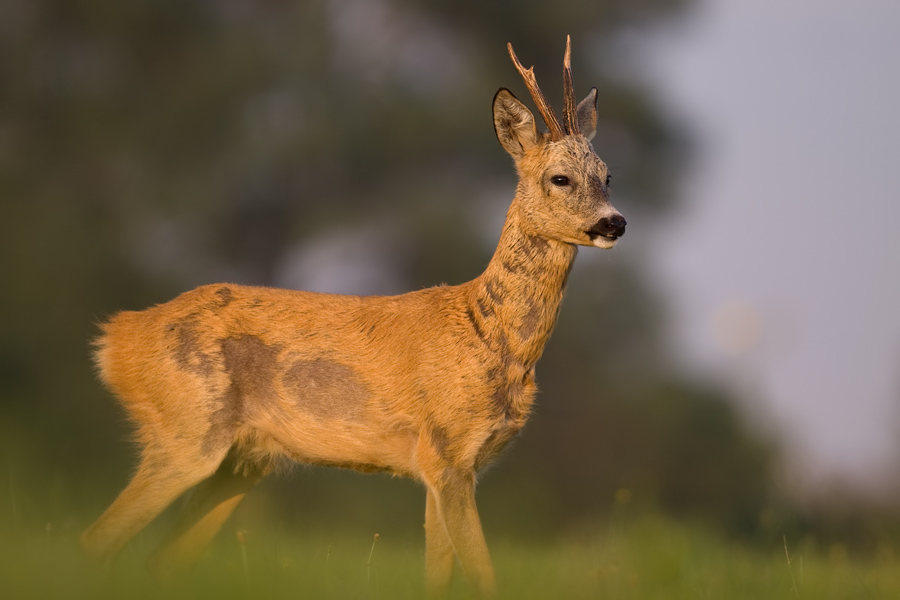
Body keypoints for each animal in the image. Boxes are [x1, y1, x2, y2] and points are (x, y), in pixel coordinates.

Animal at [81, 37, 624, 596]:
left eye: (608, 176)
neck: (488, 334)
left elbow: (438, 577)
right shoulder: (445, 452)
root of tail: (116, 338)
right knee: (96, 540)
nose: (615, 222)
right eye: (559, 178)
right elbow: (483, 575)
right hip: (186, 428)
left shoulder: (450, 466)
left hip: (242, 460)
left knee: (160, 559)